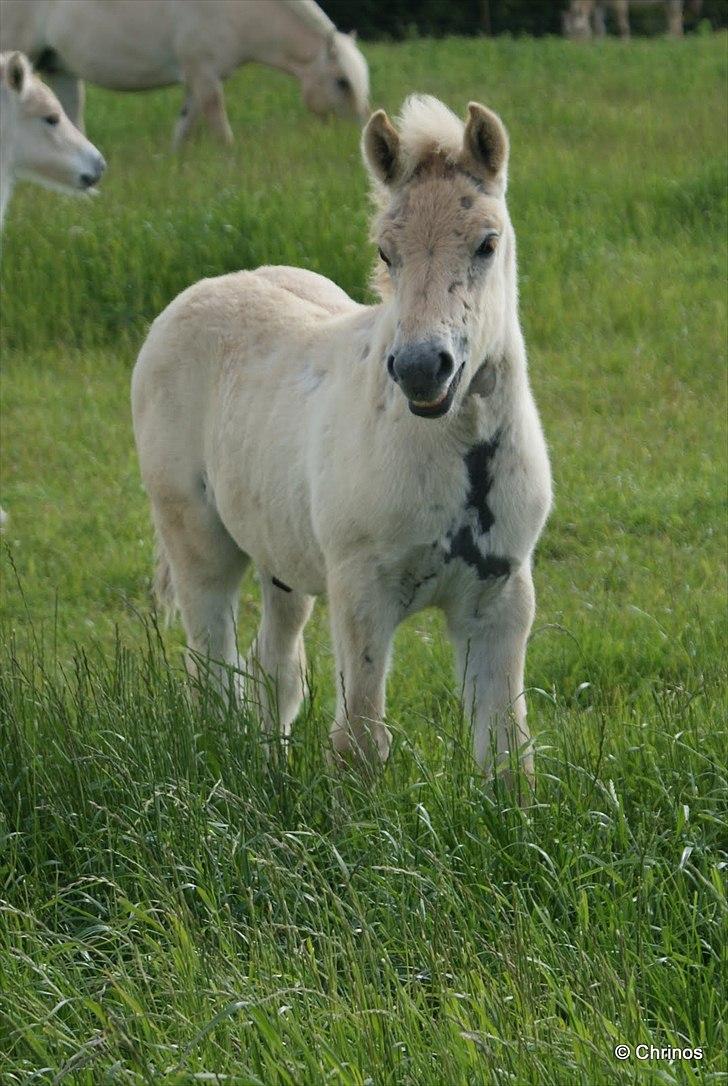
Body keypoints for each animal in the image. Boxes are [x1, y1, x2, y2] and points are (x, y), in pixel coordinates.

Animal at [0, 0, 373, 147]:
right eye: (342, 82)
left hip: (61, 71)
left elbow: (184, 125)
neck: (240, 12)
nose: (357, 133)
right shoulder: (204, 76)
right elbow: (218, 124)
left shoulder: (201, 78)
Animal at [132, 95, 554, 781]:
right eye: (385, 252)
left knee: (272, 665)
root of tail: (204, 289)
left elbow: (506, 751)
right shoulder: (361, 593)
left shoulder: (499, 597)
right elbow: (359, 742)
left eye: (487, 244)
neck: (454, 457)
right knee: (211, 671)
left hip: (281, 556)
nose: (421, 368)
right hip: (200, 543)